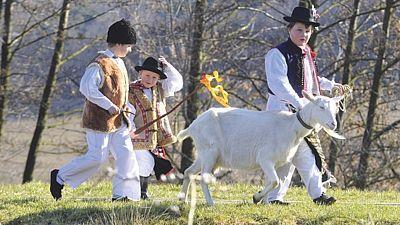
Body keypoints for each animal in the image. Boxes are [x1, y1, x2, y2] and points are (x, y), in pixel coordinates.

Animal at [178, 90, 344, 205]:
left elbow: (271, 181)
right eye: (321, 107)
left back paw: (183, 200)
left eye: (335, 108)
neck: (291, 126)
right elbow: (276, 181)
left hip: (205, 154)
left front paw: (265, 203)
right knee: (203, 178)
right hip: (209, 152)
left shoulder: (276, 162)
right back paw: (211, 203)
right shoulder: (265, 158)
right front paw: (256, 197)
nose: (333, 124)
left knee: (188, 172)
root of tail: (192, 126)